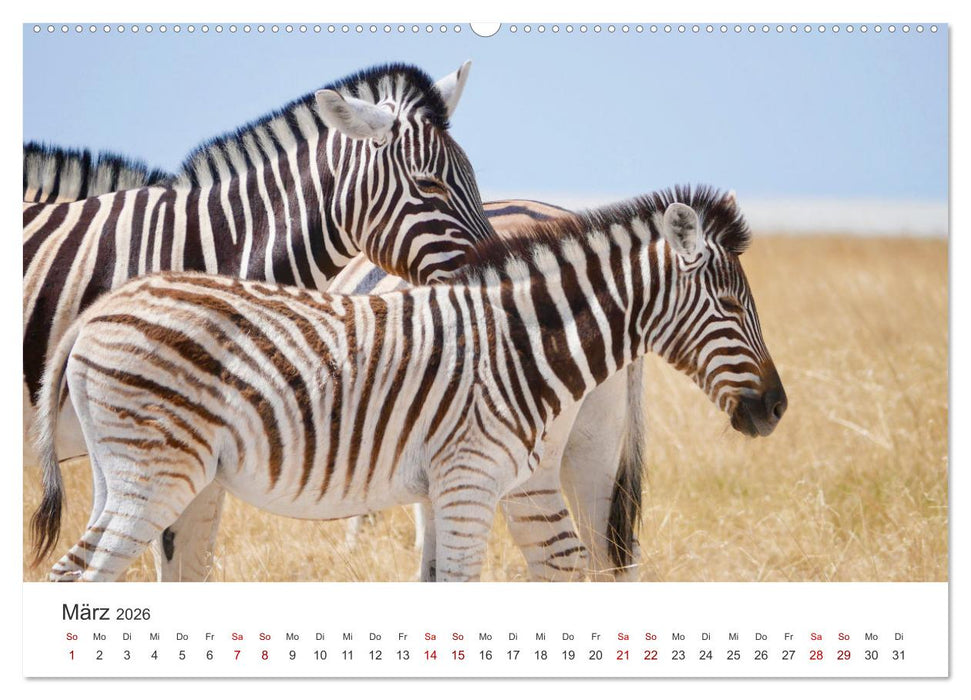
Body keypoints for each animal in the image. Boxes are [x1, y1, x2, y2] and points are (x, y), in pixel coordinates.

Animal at [30, 185, 787, 582]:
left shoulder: (461, 482)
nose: (776, 408)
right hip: (156, 473)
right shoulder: (468, 478)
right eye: (729, 304)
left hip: (128, 473)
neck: (519, 342)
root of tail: (96, 313)